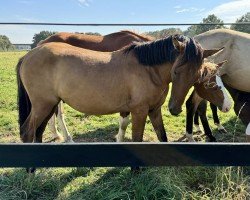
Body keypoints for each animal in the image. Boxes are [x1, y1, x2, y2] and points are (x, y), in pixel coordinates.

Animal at [17, 35, 221, 144]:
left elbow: (162, 136)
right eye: (177, 70)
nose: (175, 109)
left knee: (39, 131)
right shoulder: (139, 111)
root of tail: (28, 55)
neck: (148, 69)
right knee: (28, 131)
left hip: (49, 105)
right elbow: (137, 137)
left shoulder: (154, 110)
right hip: (42, 105)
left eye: (196, 75)